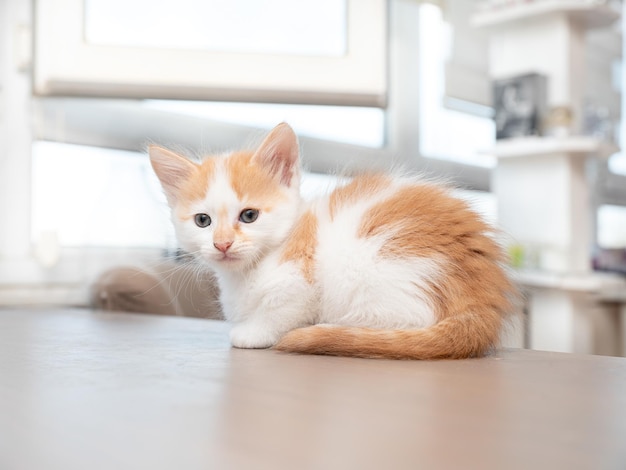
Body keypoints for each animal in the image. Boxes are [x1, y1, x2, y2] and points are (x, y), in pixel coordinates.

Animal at [149, 122, 516, 360]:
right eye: (203, 221)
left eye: (249, 215)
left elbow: (282, 312)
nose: (222, 244)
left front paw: (254, 333)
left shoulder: (298, 281)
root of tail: (482, 300)